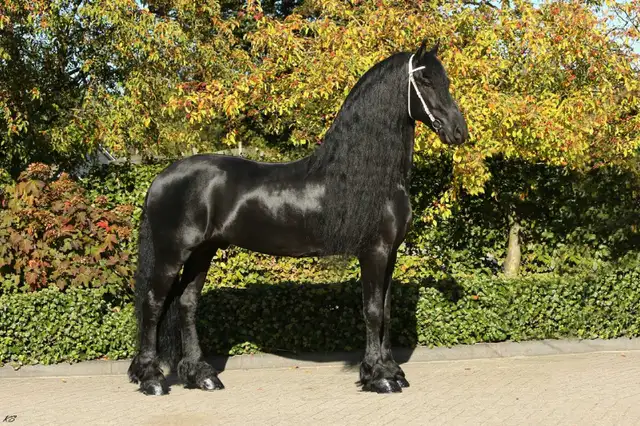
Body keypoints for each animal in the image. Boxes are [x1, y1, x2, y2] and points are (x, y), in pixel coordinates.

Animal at [127, 39, 469, 395]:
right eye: (426, 80)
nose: (459, 131)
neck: (369, 176)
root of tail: (161, 178)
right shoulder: (373, 252)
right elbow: (374, 311)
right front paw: (380, 377)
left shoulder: (390, 254)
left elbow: (386, 312)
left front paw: (391, 371)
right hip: (172, 253)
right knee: (153, 304)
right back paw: (151, 379)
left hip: (202, 253)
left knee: (186, 304)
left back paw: (202, 376)